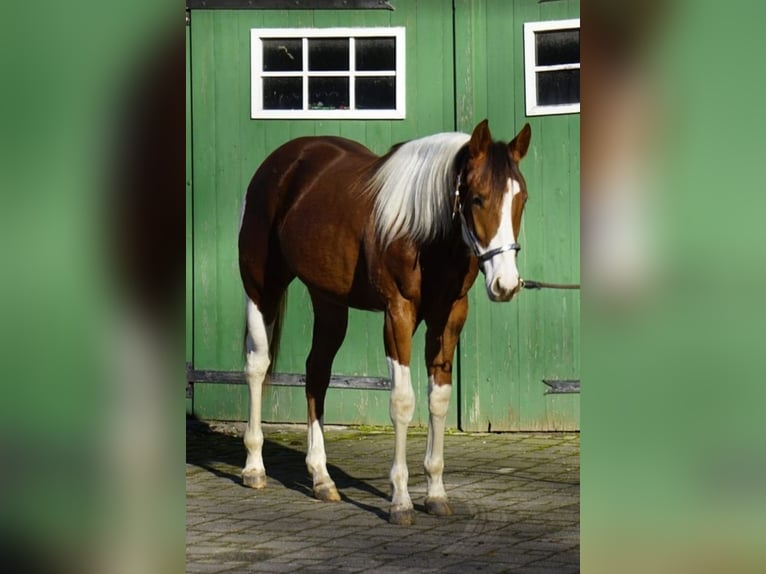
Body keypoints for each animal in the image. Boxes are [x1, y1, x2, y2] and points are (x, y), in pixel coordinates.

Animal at [238, 119, 531, 525]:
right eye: (477, 198)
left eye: (522, 199)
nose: (505, 284)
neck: (423, 230)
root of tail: (278, 165)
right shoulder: (398, 315)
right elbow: (403, 402)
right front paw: (400, 501)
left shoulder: (450, 316)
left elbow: (438, 399)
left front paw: (436, 493)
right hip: (260, 289)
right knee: (257, 366)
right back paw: (254, 468)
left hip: (329, 302)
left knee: (317, 373)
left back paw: (321, 479)